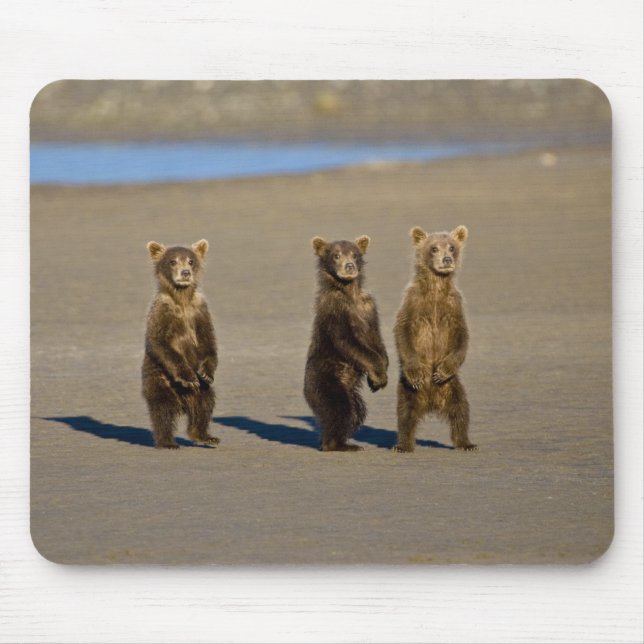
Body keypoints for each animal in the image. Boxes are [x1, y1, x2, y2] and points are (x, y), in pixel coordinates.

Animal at [142, 239, 219, 449]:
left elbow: (208, 341)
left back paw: (205, 435)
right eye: (172, 261)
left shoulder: (200, 311)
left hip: (201, 393)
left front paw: (206, 372)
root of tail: (183, 401)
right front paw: (188, 377)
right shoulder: (162, 312)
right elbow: (160, 342)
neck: (182, 299)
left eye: (191, 261)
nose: (185, 273)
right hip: (159, 379)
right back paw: (167, 441)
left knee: (205, 403)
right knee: (163, 410)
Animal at [304, 235, 389, 451]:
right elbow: (349, 342)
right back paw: (337, 444)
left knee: (356, 411)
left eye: (355, 254)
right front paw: (379, 375)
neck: (349, 292)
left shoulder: (368, 307)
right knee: (339, 409)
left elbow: (376, 339)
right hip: (325, 381)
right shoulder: (336, 311)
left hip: (350, 391)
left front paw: (378, 378)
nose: (349, 266)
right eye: (336, 255)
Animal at [393, 225, 476, 452]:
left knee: (460, 411)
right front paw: (415, 372)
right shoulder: (413, 303)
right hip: (408, 391)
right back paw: (403, 445)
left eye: (452, 247)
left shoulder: (454, 306)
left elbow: (462, 337)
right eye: (434, 248)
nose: (447, 259)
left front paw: (441, 371)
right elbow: (402, 331)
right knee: (405, 414)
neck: (436, 288)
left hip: (453, 387)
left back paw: (466, 442)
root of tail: (431, 403)